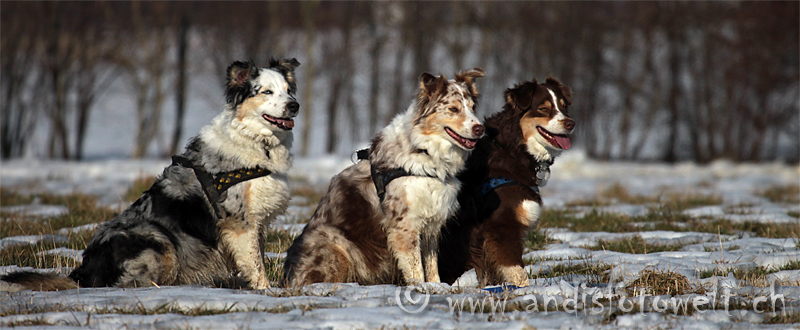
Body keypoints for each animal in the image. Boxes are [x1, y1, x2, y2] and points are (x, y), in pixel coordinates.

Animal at [288, 67, 488, 286]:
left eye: (473, 107)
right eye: (453, 109)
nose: (480, 128)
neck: (424, 150)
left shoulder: (431, 221)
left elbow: (431, 265)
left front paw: (437, 287)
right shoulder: (405, 225)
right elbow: (416, 268)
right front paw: (420, 289)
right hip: (333, 241)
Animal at [438, 78, 576, 288]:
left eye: (563, 107)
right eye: (543, 109)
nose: (571, 123)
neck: (512, 149)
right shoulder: (502, 224)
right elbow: (516, 270)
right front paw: (524, 291)